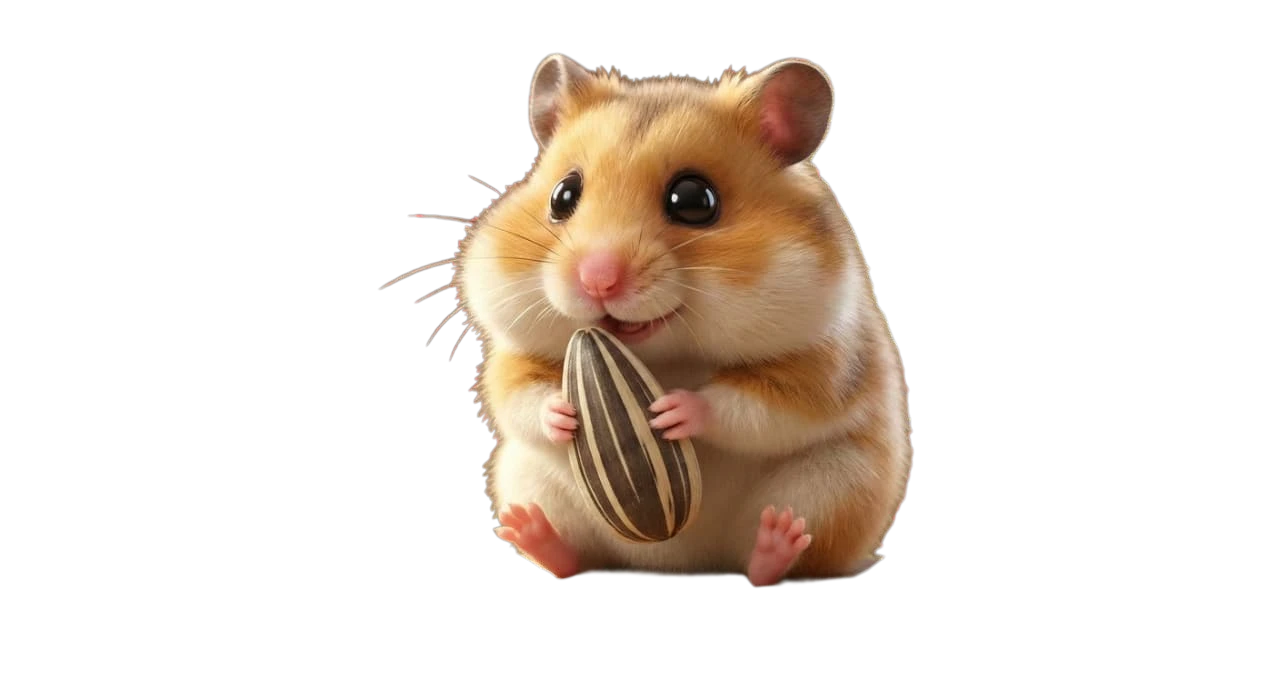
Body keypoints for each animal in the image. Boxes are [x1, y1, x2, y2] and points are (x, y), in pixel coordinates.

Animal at [452, 53, 912, 586]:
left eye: (694, 200)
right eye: (562, 196)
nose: (597, 280)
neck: (666, 354)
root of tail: (675, 560)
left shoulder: (824, 364)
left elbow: (756, 405)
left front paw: (672, 410)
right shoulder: (511, 361)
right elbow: (519, 395)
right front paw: (563, 412)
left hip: (839, 487)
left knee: (774, 560)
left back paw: (777, 542)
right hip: (522, 475)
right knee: (573, 557)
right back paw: (528, 528)